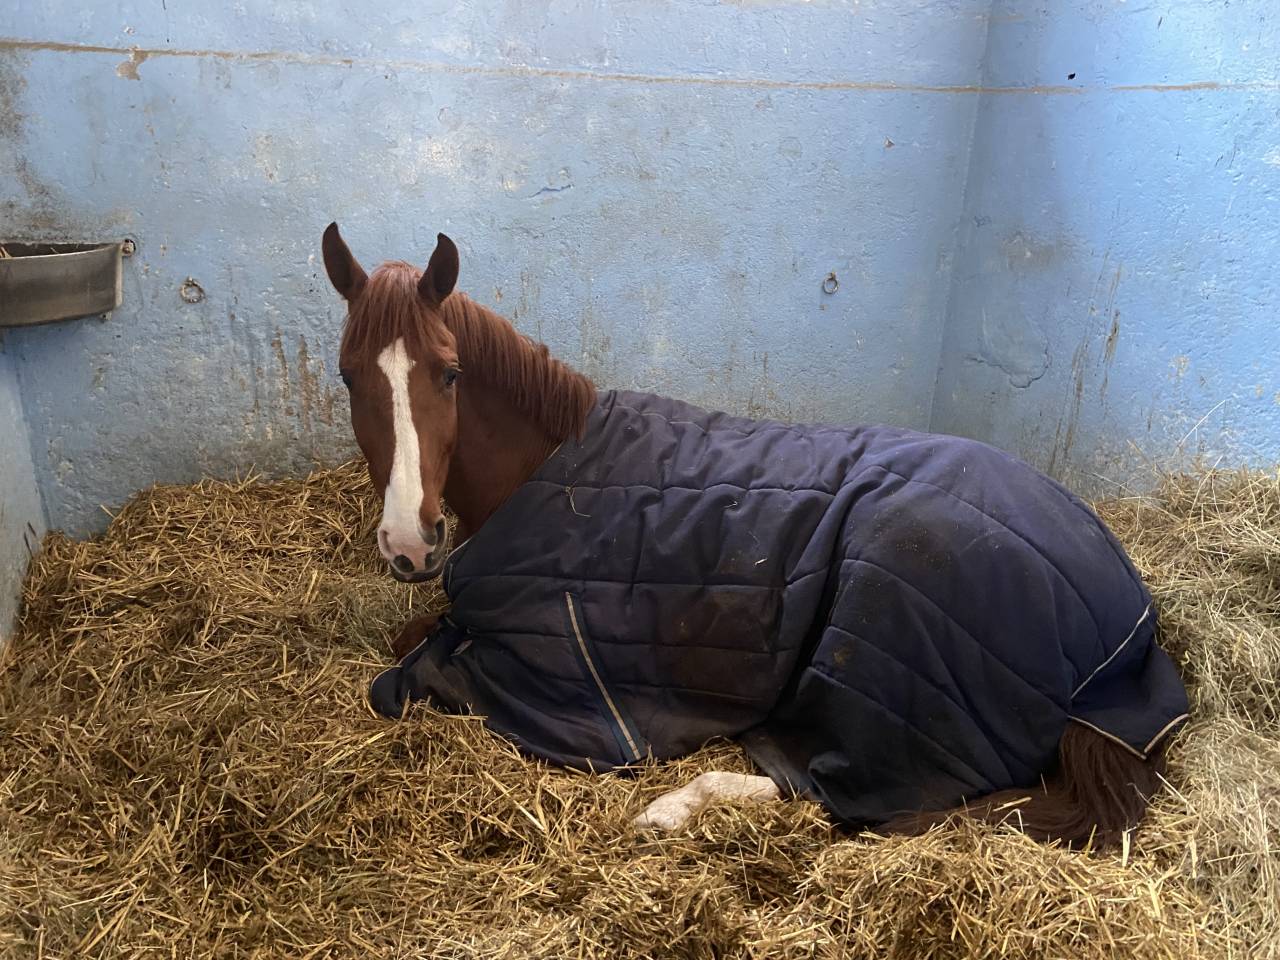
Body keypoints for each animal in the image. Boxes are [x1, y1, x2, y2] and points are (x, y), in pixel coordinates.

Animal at [321, 223, 1189, 846]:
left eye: (449, 374)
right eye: (348, 374)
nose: (409, 544)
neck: (552, 472)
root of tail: (1127, 623)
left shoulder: (546, 673)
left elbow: (405, 676)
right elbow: (412, 634)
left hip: (885, 664)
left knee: (848, 791)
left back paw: (673, 807)